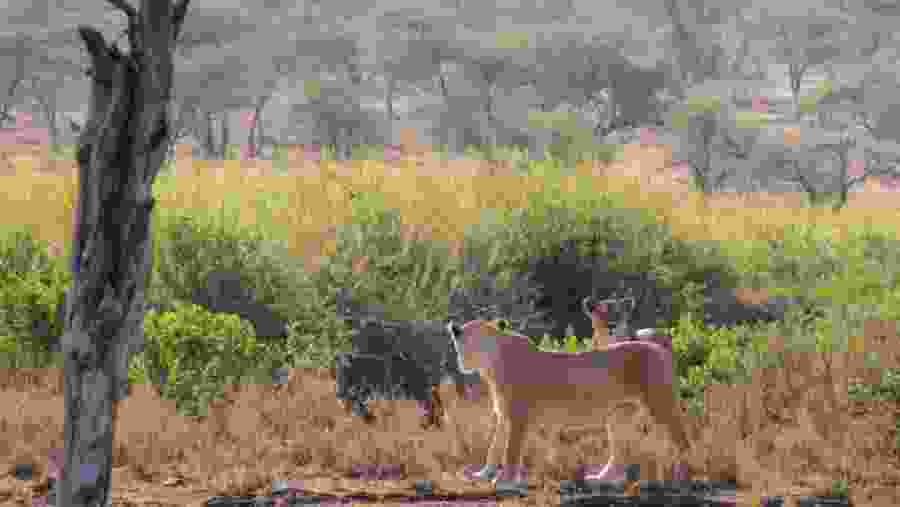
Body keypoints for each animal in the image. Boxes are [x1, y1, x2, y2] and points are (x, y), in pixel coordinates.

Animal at [445, 317, 691, 485]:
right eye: (468, 343)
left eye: (480, 342)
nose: (462, 362)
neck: (492, 365)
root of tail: (658, 346)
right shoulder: (504, 415)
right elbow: (494, 447)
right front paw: (482, 474)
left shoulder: (518, 416)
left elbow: (510, 450)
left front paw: (504, 479)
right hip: (619, 414)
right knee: (621, 452)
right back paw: (600, 477)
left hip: (660, 404)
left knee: (682, 440)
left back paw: (684, 474)